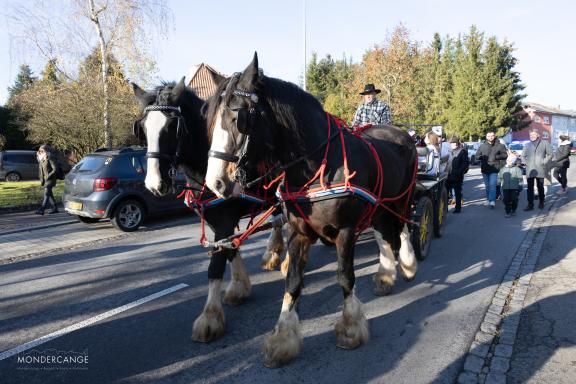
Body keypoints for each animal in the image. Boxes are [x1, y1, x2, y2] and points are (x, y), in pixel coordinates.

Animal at [129, 78, 284, 342]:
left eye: (172, 126)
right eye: (143, 129)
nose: (154, 184)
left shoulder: (224, 219)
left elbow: (216, 265)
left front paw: (210, 317)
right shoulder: (215, 221)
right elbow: (229, 250)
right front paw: (239, 287)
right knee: (278, 220)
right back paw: (273, 253)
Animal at [204, 54, 418, 368]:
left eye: (238, 118)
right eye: (211, 121)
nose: (215, 182)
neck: (318, 167)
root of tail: (403, 133)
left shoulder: (345, 231)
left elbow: (345, 276)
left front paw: (351, 327)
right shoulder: (299, 233)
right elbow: (293, 281)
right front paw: (283, 338)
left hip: (401, 197)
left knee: (401, 229)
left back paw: (408, 264)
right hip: (378, 205)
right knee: (383, 233)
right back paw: (386, 274)